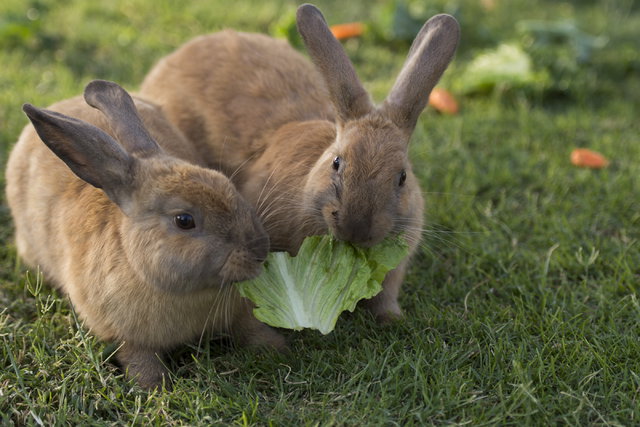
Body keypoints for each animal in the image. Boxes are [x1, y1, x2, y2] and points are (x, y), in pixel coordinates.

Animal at [4, 80, 285, 389]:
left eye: (226, 183)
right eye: (184, 220)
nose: (260, 249)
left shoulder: (239, 315)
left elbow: (249, 328)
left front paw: (277, 347)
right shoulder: (125, 336)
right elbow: (140, 358)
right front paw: (155, 387)